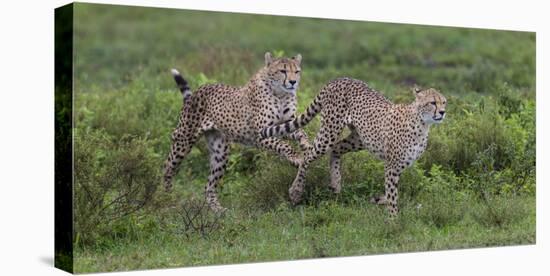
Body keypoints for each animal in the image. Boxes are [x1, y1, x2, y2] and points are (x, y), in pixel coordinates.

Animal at [164, 52, 310, 211]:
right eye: (283, 71)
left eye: (297, 71)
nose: (293, 82)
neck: (280, 93)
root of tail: (198, 91)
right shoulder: (260, 134)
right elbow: (284, 145)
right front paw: (296, 157)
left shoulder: (285, 125)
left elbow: (302, 134)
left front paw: (307, 146)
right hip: (183, 140)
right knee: (167, 167)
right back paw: (167, 198)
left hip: (220, 152)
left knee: (209, 185)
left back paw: (218, 210)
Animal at [260, 77, 448, 216]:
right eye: (432, 102)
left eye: (444, 102)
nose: (442, 112)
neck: (422, 124)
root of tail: (340, 79)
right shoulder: (392, 165)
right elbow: (393, 195)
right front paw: (393, 221)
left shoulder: (399, 166)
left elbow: (391, 191)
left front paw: (380, 200)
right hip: (330, 131)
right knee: (307, 155)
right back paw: (296, 191)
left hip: (360, 139)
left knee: (335, 149)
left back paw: (336, 182)